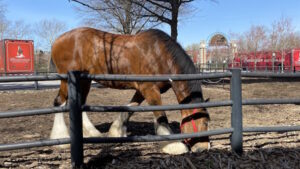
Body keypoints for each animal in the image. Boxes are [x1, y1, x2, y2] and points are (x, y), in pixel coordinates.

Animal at [50, 27, 209, 154]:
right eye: (204, 122)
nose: (204, 148)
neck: (159, 55)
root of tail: (57, 40)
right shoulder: (149, 89)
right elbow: (161, 115)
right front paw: (173, 145)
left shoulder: (142, 90)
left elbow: (131, 108)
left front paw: (116, 131)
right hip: (67, 80)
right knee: (59, 102)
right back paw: (60, 137)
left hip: (84, 81)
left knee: (80, 103)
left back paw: (91, 132)